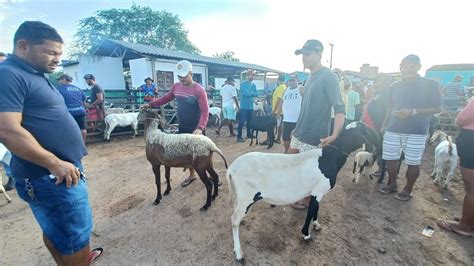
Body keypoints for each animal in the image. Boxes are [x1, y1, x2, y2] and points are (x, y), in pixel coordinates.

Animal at [226, 121, 378, 262]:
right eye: (366, 130)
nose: (378, 136)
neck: (328, 158)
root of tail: (232, 168)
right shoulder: (318, 191)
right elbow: (311, 211)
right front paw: (306, 235)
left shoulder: (317, 192)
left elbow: (316, 209)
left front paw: (316, 225)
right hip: (247, 196)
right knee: (234, 220)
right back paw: (239, 254)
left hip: (241, 195)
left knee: (235, 210)